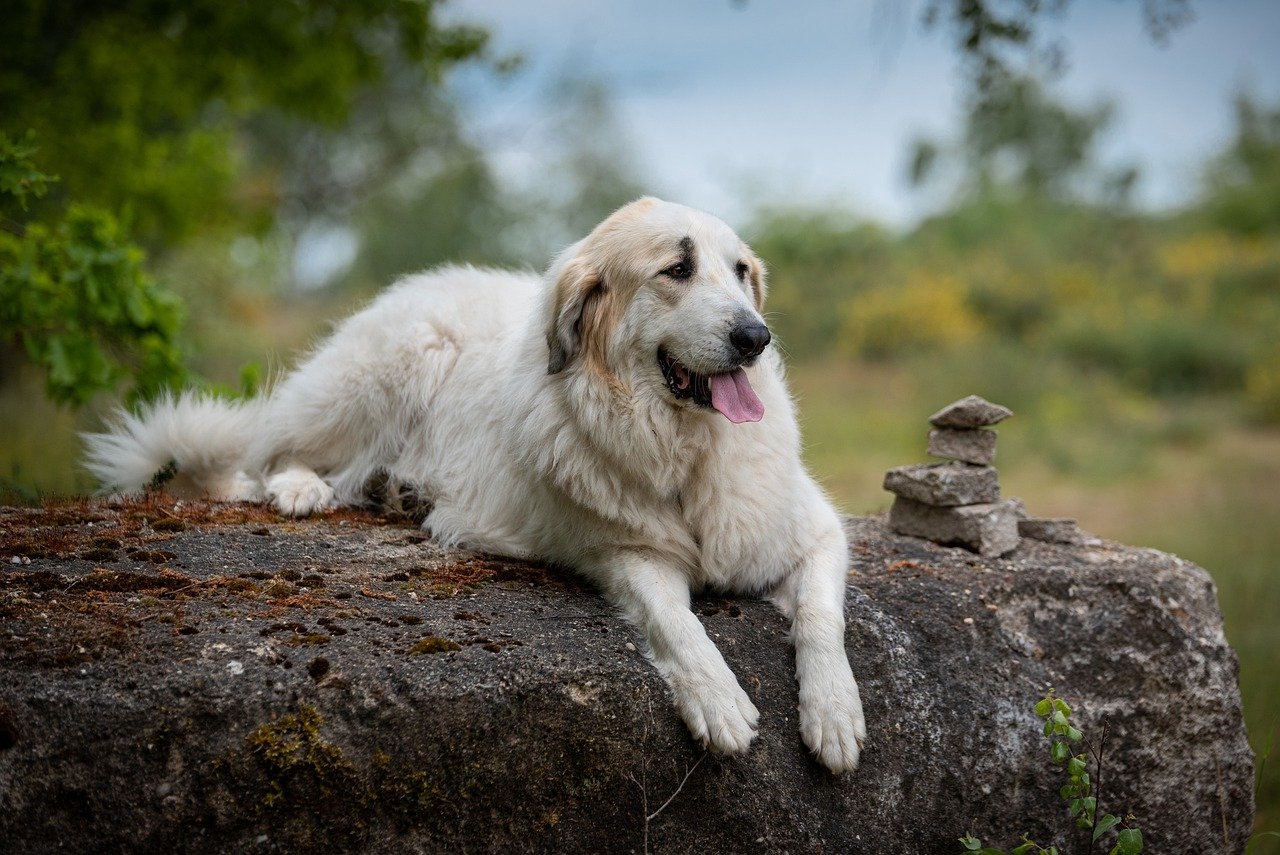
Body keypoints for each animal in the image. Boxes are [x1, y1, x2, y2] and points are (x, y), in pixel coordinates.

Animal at [85, 197, 870, 773]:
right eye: (677, 268)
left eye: (739, 272)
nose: (755, 337)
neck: (682, 446)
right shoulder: (629, 556)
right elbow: (678, 625)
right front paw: (719, 699)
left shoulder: (815, 533)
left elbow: (822, 620)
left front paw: (834, 714)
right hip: (383, 372)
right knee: (266, 456)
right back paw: (305, 489)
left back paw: (397, 491)